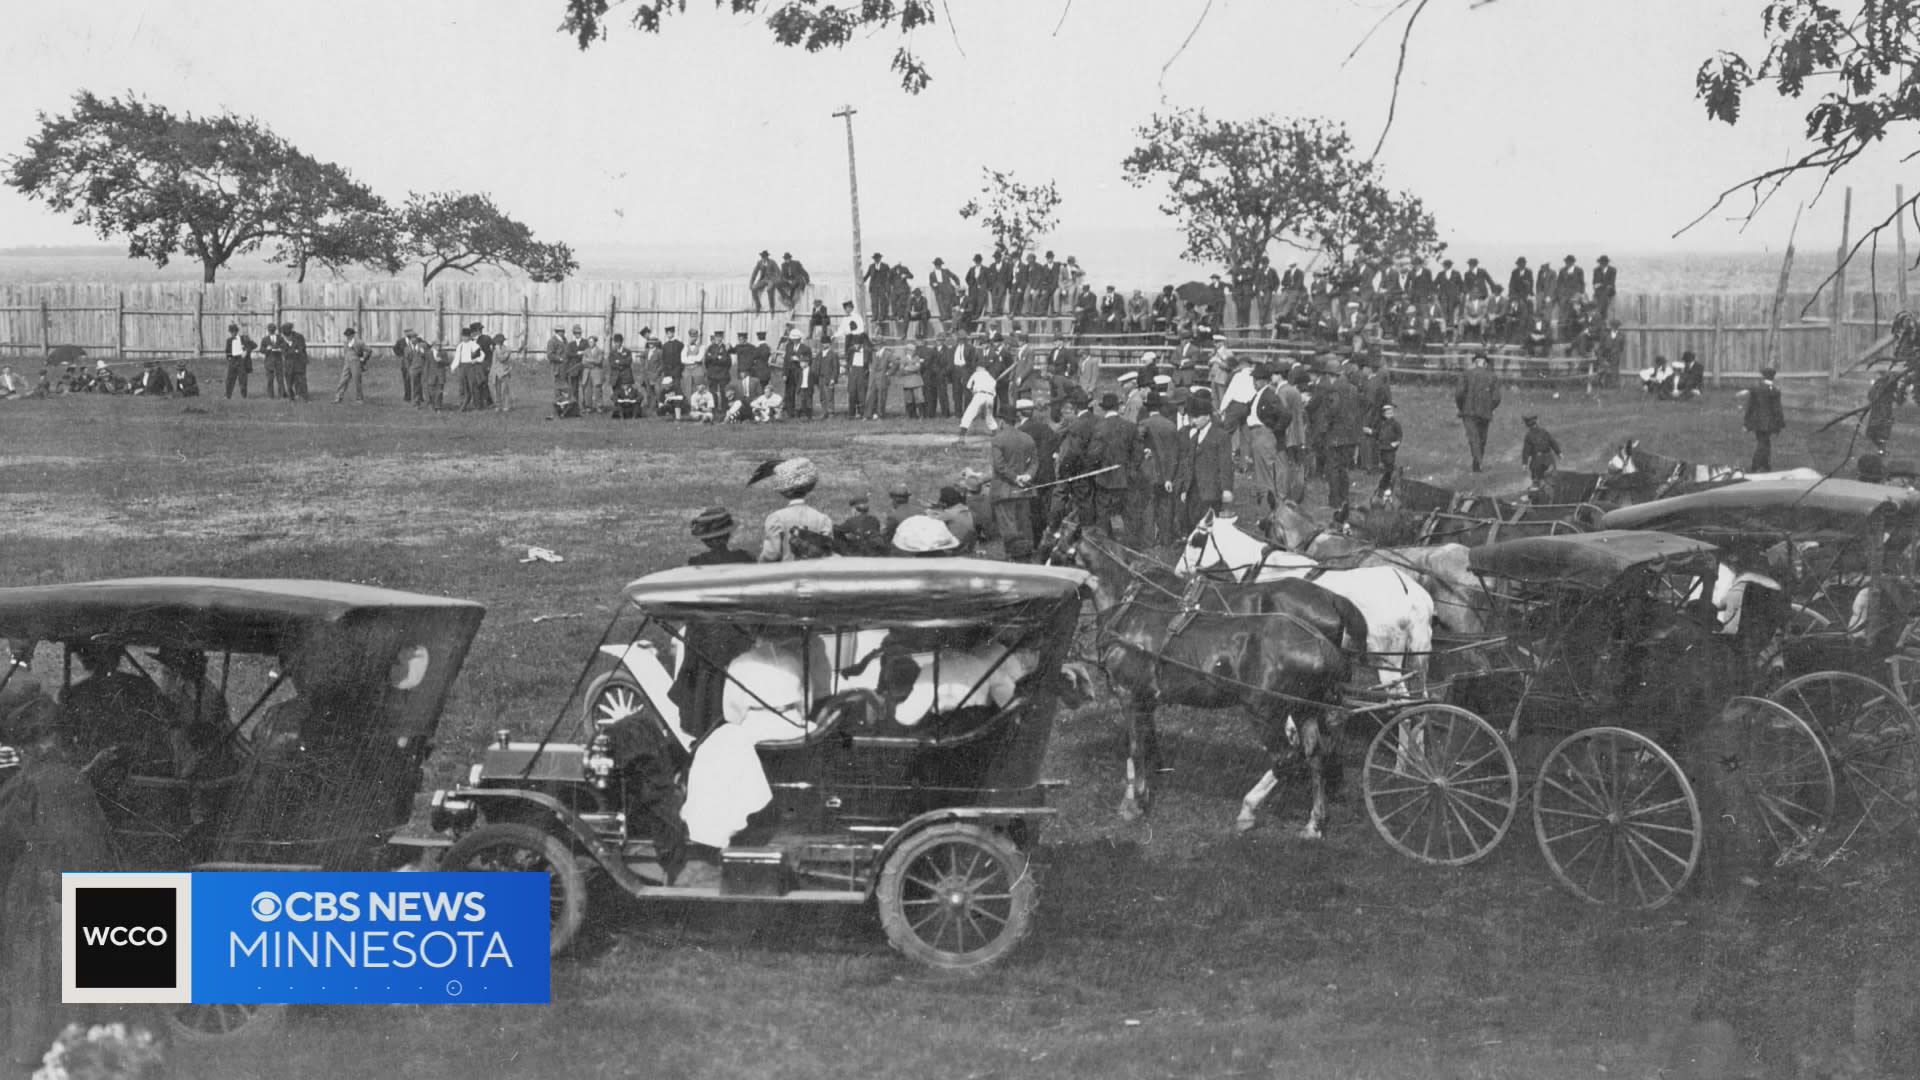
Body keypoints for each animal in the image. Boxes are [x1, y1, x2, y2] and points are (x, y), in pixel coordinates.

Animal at [1052, 522, 1367, 834]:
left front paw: (1134, 803)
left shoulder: (1128, 693)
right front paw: (1148, 785)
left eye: (1053, 553)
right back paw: (1316, 819)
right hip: (1305, 708)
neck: (1130, 607)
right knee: (1315, 752)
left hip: (1264, 711)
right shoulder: (1145, 698)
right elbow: (1146, 742)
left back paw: (1249, 809)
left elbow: (1135, 747)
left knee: (1288, 757)